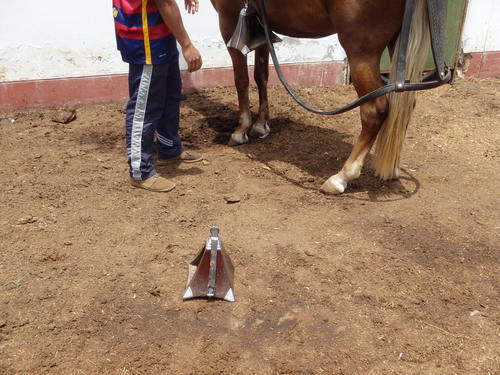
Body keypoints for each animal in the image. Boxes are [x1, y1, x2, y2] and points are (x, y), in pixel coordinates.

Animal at [209, 0, 432, 194]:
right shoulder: (259, 24)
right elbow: (261, 75)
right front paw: (260, 125)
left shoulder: (229, 19)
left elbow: (241, 80)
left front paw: (241, 130)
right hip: (397, 43)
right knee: (405, 103)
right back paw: (392, 167)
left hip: (361, 50)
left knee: (375, 110)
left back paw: (342, 177)